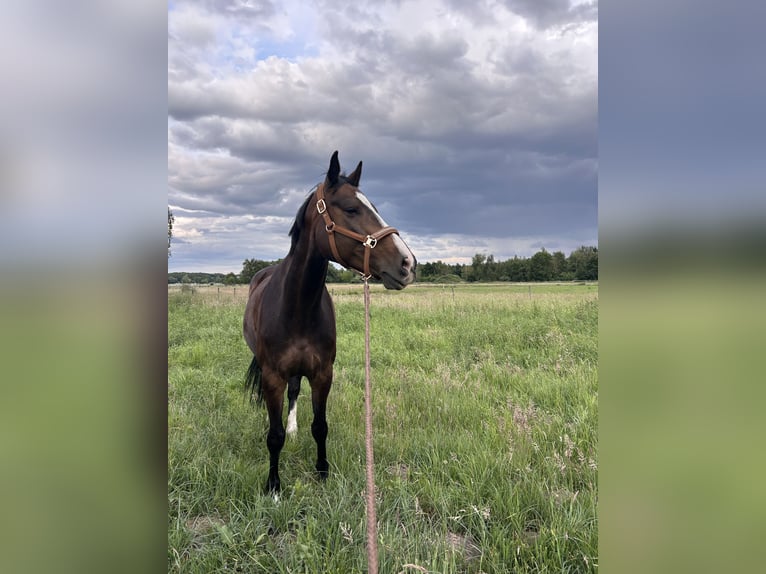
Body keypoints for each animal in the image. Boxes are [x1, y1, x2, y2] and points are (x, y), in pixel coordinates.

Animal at [243, 150, 417, 493]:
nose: (407, 263)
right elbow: (274, 436)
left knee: (295, 391)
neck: (297, 308)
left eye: (375, 208)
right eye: (351, 209)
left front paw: (322, 471)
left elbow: (320, 426)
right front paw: (274, 486)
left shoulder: (323, 374)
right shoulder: (272, 377)